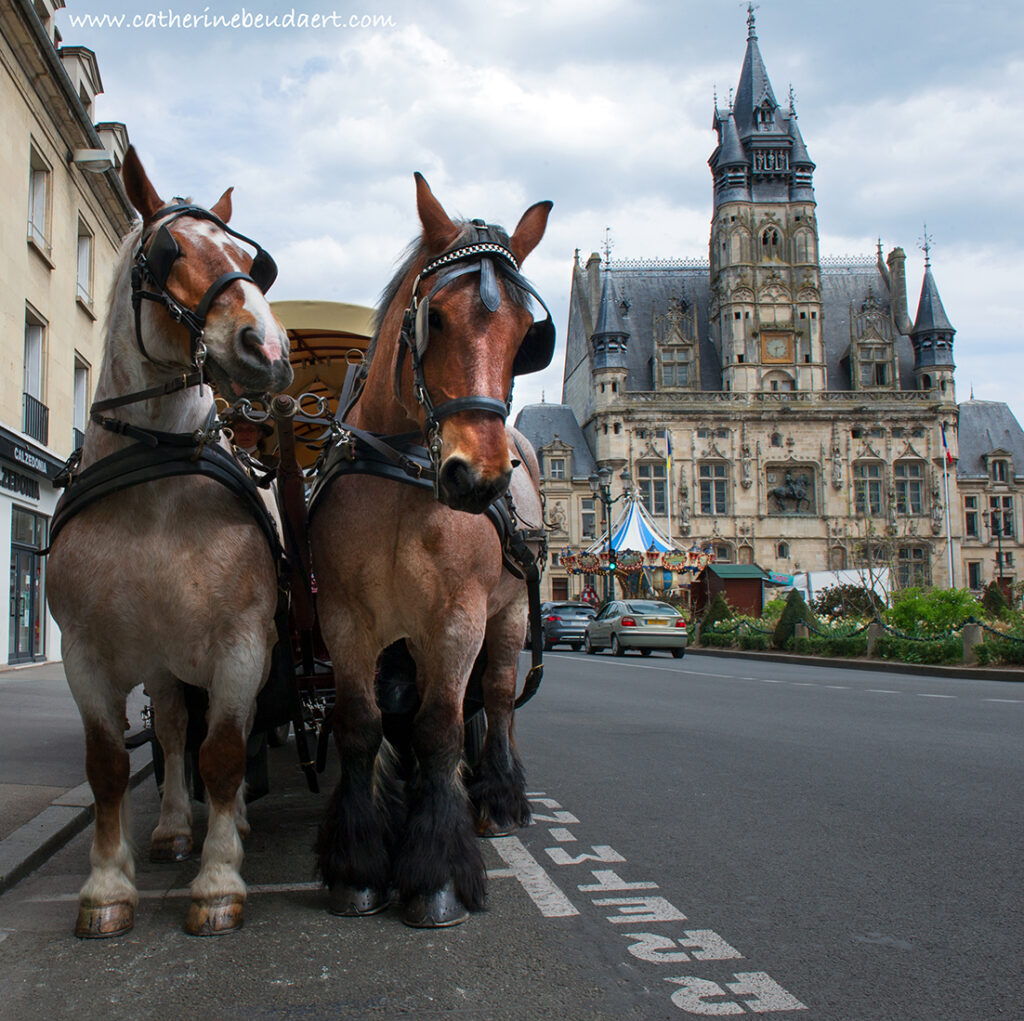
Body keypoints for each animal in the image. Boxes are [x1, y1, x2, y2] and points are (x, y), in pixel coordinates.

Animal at [46, 146, 292, 938]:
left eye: (252, 262)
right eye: (168, 251)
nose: (268, 348)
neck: (156, 483)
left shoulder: (241, 644)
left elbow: (226, 752)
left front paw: (217, 879)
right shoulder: (86, 655)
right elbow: (110, 766)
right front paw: (106, 885)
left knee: (219, 739)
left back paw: (226, 823)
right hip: (159, 658)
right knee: (178, 727)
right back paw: (174, 828)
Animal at [310, 173, 552, 927]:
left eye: (527, 336)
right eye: (435, 318)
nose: (479, 476)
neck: (404, 469)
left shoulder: (456, 618)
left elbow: (442, 727)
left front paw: (435, 875)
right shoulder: (348, 620)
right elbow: (362, 725)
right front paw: (359, 864)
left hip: (508, 616)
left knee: (497, 697)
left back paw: (498, 797)